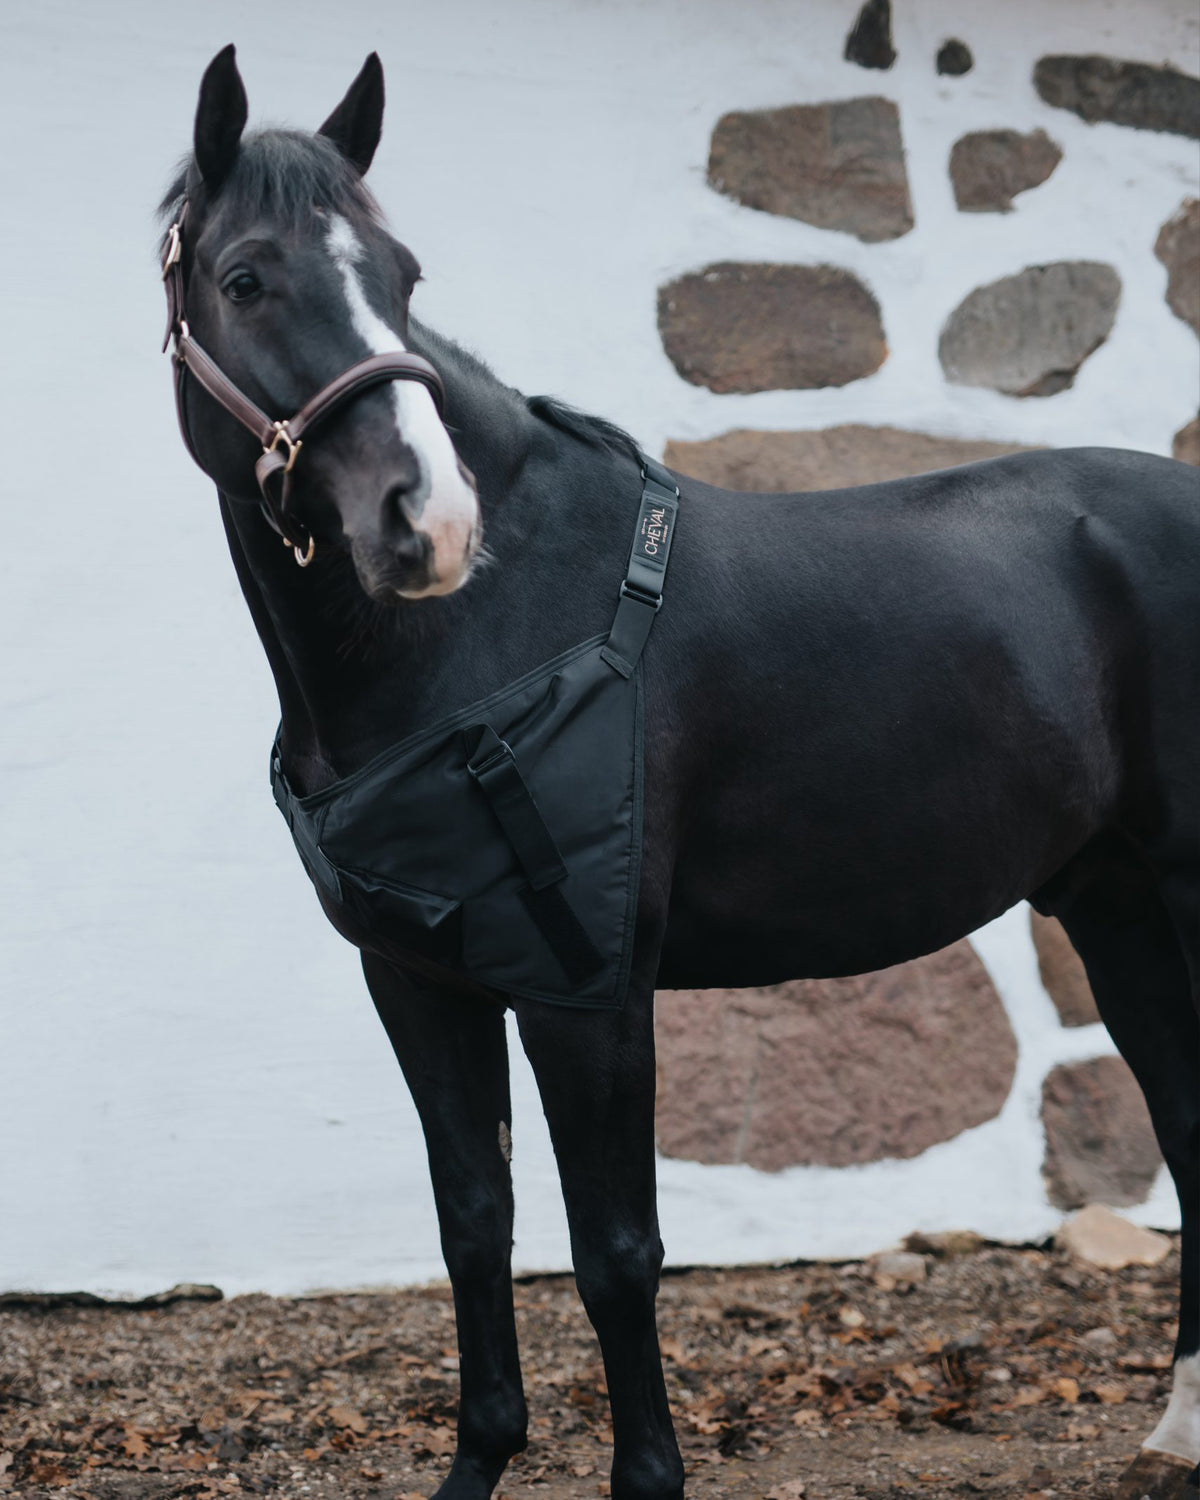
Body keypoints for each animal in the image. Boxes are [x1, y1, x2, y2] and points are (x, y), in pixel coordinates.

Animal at [159, 45, 1199, 1500]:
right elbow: (473, 1225)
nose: (429, 520)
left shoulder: (587, 992)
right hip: (1118, 908)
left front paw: (648, 1477)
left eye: (405, 277)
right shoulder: (420, 982)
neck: (499, 627)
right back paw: (1181, 1426)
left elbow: (615, 1255)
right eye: (246, 277)